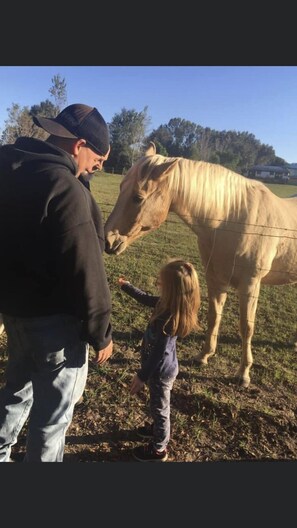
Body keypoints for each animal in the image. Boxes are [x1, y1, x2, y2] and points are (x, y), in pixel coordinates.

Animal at [104, 142, 297, 386]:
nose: (108, 240)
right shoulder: (215, 279)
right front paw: (204, 355)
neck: (231, 220)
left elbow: (246, 327)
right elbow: (214, 317)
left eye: (138, 197)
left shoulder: (250, 285)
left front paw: (243, 373)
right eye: (121, 188)